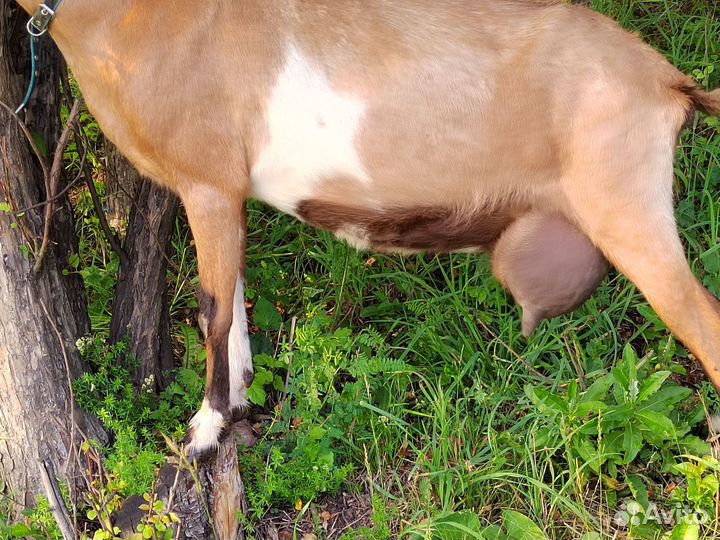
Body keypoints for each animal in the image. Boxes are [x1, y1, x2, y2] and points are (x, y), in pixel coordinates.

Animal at [14, 0, 720, 458]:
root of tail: (666, 79)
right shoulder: (230, 192)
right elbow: (235, 305)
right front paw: (238, 408)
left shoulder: (207, 181)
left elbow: (212, 310)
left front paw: (202, 434)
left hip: (627, 206)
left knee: (703, 324)